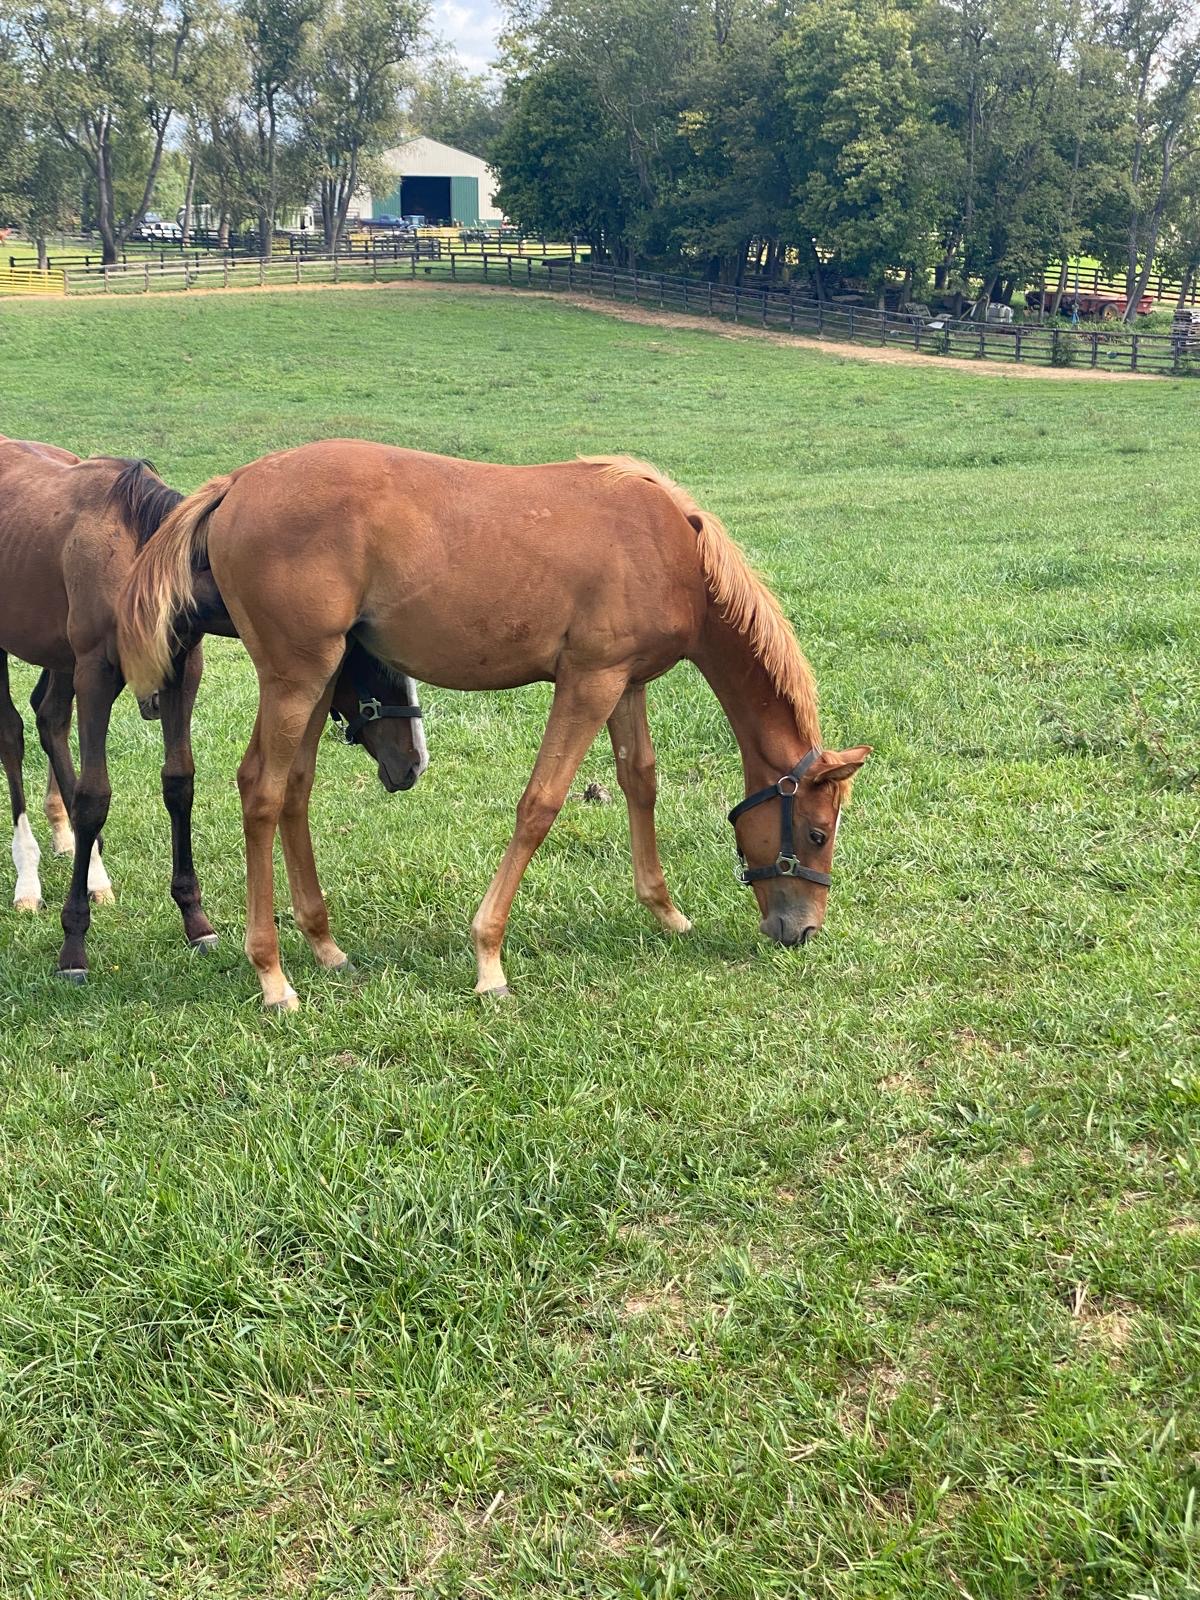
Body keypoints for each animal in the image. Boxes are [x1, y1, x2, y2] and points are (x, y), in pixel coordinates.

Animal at [0, 438, 427, 982]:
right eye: (373, 661)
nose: (413, 762)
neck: (136, 557)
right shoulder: (95, 673)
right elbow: (95, 797)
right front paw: (73, 946)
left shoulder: (182, 670)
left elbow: (179, 783)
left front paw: (195, 920)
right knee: (13, 735)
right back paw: (28, 879)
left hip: (57, 657)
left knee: (50, 718)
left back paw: (88, 866)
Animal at [117, 439, 870, 1010]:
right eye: (816, 832)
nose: (803, 931)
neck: (672, 549)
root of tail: (238, 483)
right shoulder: (589, 682)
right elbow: (540, 805)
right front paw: (488, 959)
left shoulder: (626, 682)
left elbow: (641, 781)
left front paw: (665, 911)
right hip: (295, 677)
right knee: (262, 792)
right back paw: (273, 975)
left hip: (319, 676)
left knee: (294, 789)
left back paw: (324, 945)